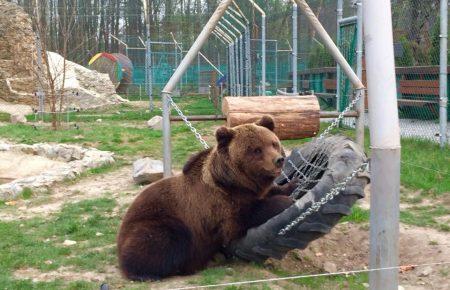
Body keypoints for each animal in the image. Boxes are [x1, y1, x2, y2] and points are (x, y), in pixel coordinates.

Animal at [118, 116, 298, 280]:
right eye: (256, 149)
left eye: (273, 143)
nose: (279, 160)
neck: (235, 182)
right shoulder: (218, 204)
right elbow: (242, 217)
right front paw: (285, 202)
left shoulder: (253, 190)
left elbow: (273, 191)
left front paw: (293, 184)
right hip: (160, 221)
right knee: (161, 239)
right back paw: (148, 273)